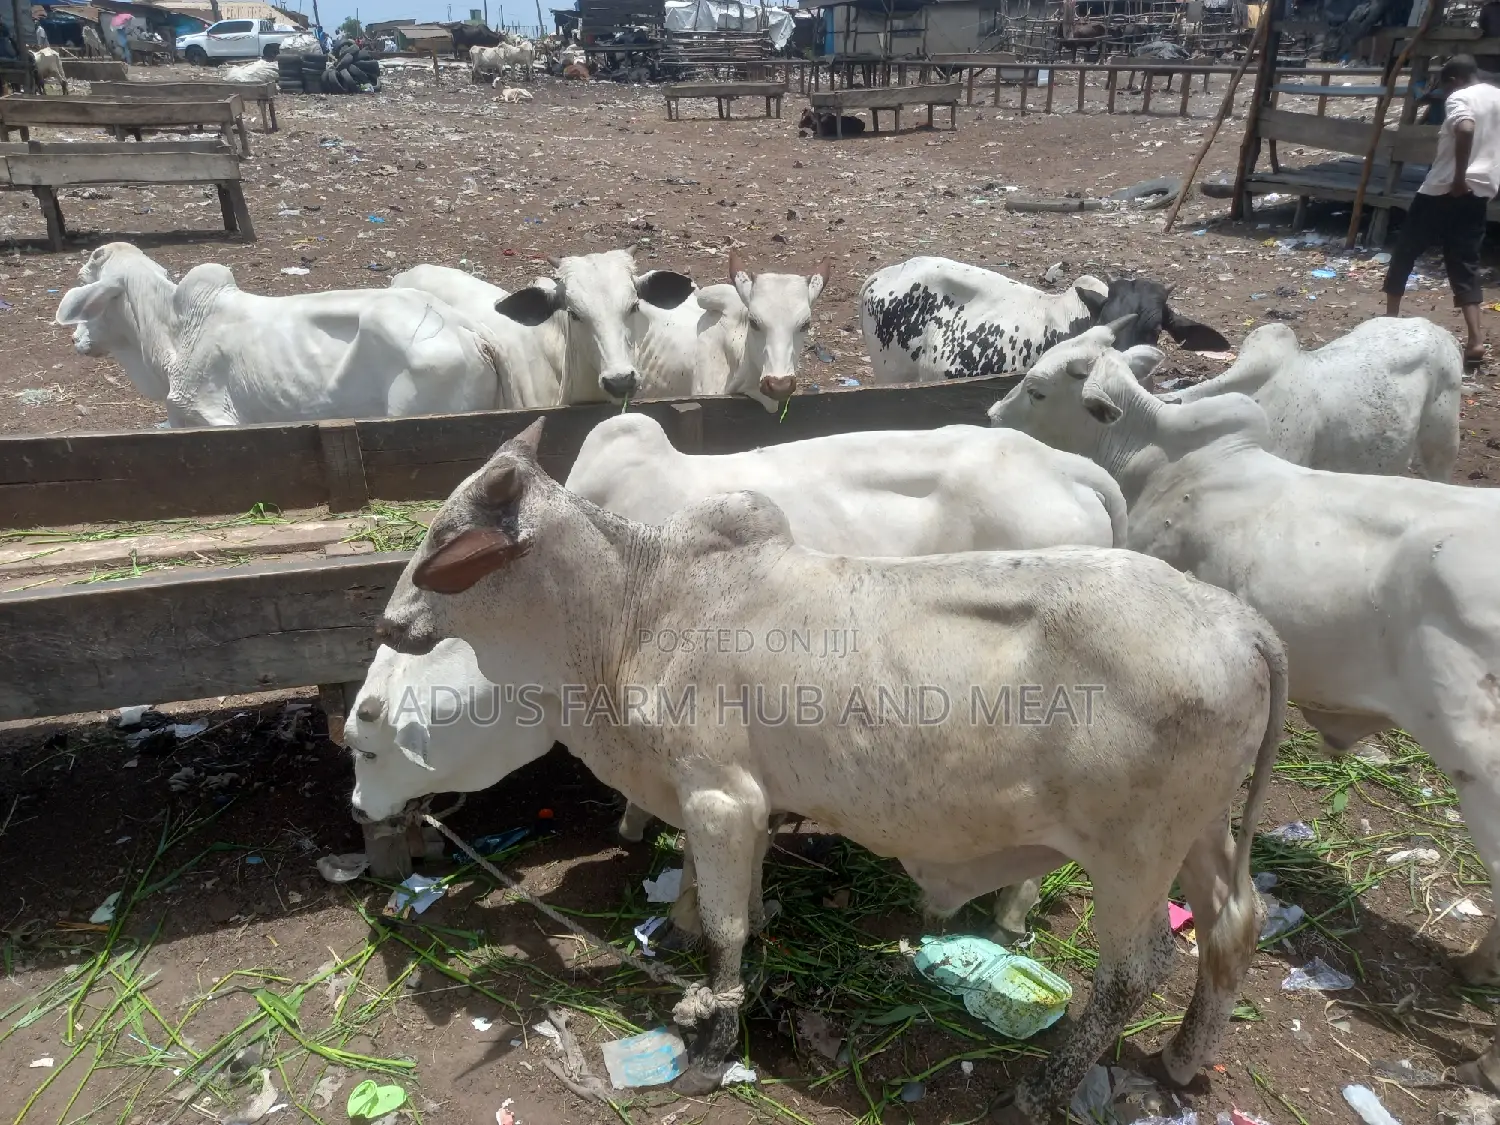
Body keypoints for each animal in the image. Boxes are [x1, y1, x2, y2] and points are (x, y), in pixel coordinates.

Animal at [368, 416, 1286, 1118]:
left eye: (447, 541)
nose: (390, 621)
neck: (640, 607)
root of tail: (1238, 621)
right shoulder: (737, 802)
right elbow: (726, 897)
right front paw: (702, 953)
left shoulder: (719, 793)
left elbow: (728, 928)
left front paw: (713, 1045)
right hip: (1199, 829)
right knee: (1234, 920)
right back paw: (1183, 1055)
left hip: (1132, 855)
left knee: (1134, 969)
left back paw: (1044, 1086)